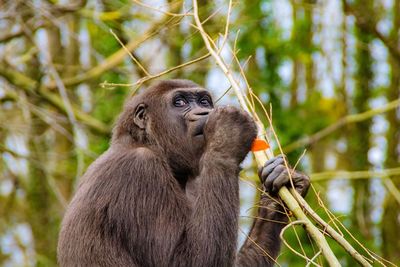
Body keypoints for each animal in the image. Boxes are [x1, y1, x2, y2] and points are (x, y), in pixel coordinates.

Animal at [57, 79, 310, 267]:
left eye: (204, 101)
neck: (144, 141)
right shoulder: (139, 169)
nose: (204, 112)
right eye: (179, 102)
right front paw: (228, 133)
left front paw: (277, 197)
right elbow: (187, 261)